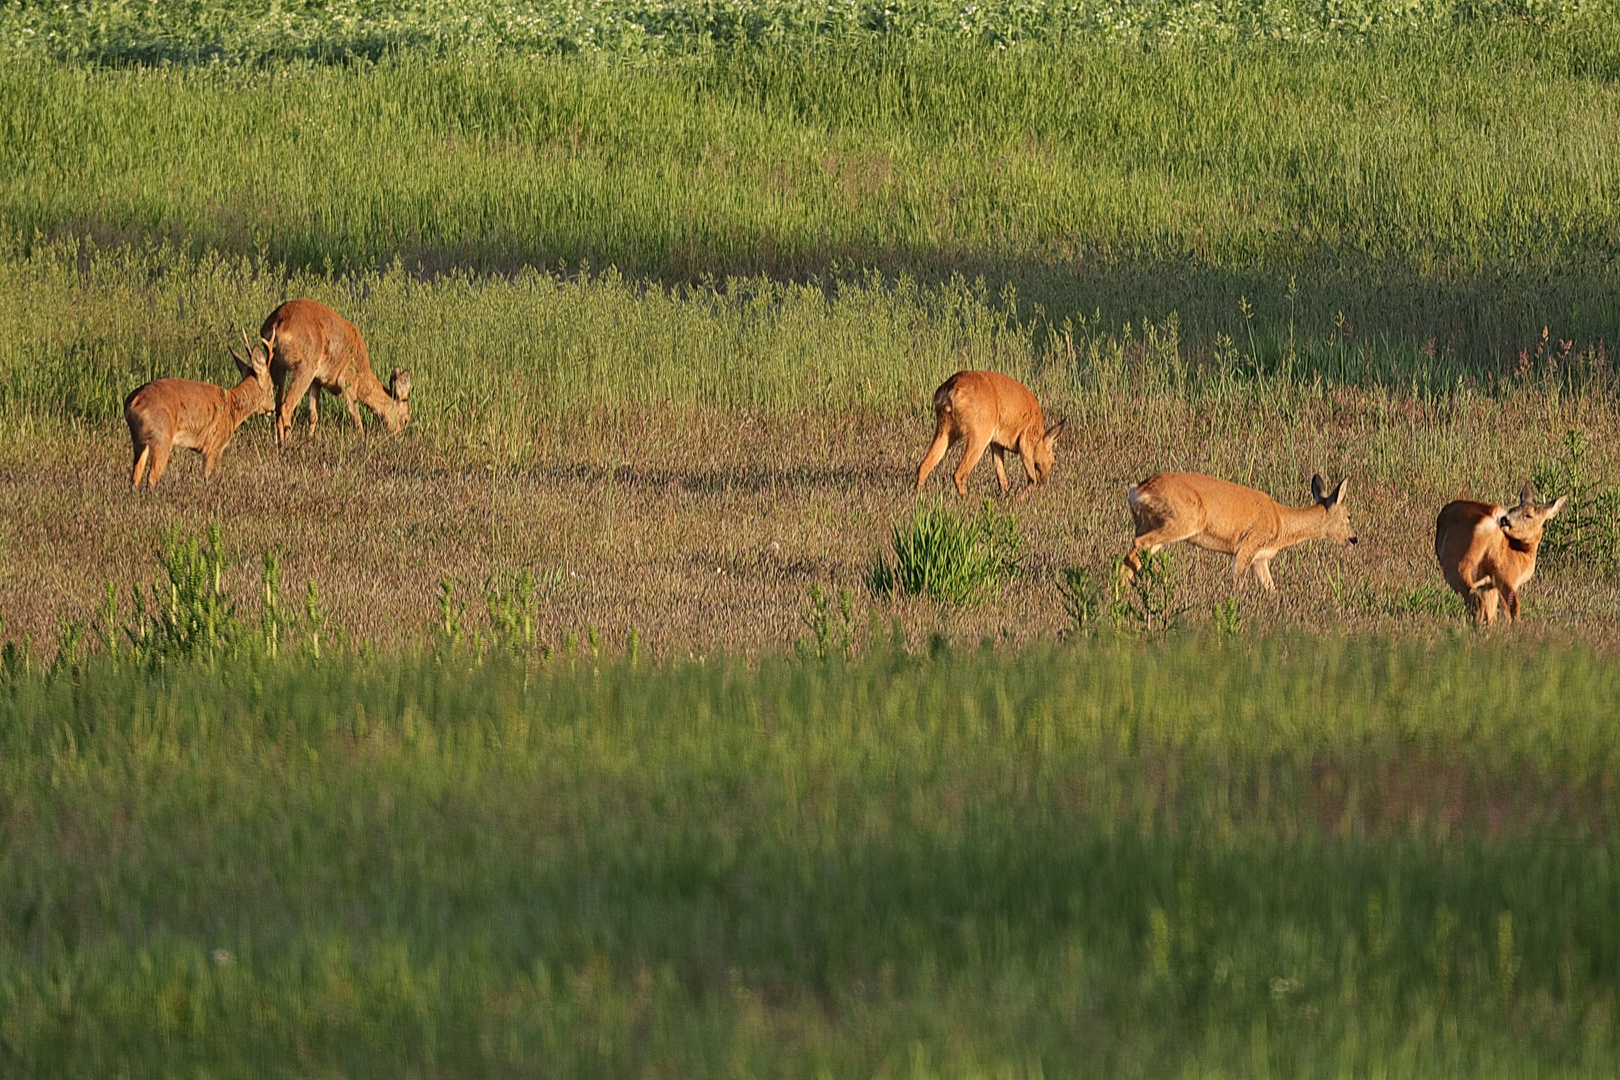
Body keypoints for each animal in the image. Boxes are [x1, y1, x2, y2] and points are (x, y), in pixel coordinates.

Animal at [125, 338, 275, 488]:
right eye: (272, 386)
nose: (272, 408)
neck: (232, 408)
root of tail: (133, 401)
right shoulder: (214, 445)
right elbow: (208, 478)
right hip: (161, 437)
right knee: (151, 476)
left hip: (139, 440)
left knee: (135, 477)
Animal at [259, 296, 411, 443]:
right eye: (406, 420)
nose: (399, 437)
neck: (363, 375)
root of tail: (276, 323)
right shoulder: (348, 383)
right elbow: (356, 418)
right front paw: (363, 440)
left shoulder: (317, 381)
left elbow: (313, 414)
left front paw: (310, 439)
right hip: (305, 367)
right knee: (286, 407)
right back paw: (287, 442)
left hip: (278, 365)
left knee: (278, 405)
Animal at [920, 372, 1069, 498]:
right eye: (1053, 459)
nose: (1044, 481)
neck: (1038, 434)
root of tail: (950, 391)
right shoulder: (1025, 439)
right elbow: (1031, 479)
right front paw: (1018, 500)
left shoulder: (996, 443)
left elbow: (1001, 476)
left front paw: (1005, 498)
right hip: (980, 434)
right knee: (958, 474)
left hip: (945, 428)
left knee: (923, 466)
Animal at [1121, 472, 1360, 592]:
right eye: (1349, 515)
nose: (1354, 539)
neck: (1281, 523)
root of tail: (1138, 490)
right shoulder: (1247, 546)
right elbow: (1237, 581)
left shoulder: (1260, 559)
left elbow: (1271, 588)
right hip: (1186, 520)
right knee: (1140, 543)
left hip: (1152, 523)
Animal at [1438, 482, 1561, 625]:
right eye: (1512, 509)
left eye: (1528, 515)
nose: (1505, 520)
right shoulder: (1494, 582)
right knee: (1502, 606)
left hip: (1461, 564)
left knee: (1481, 602)